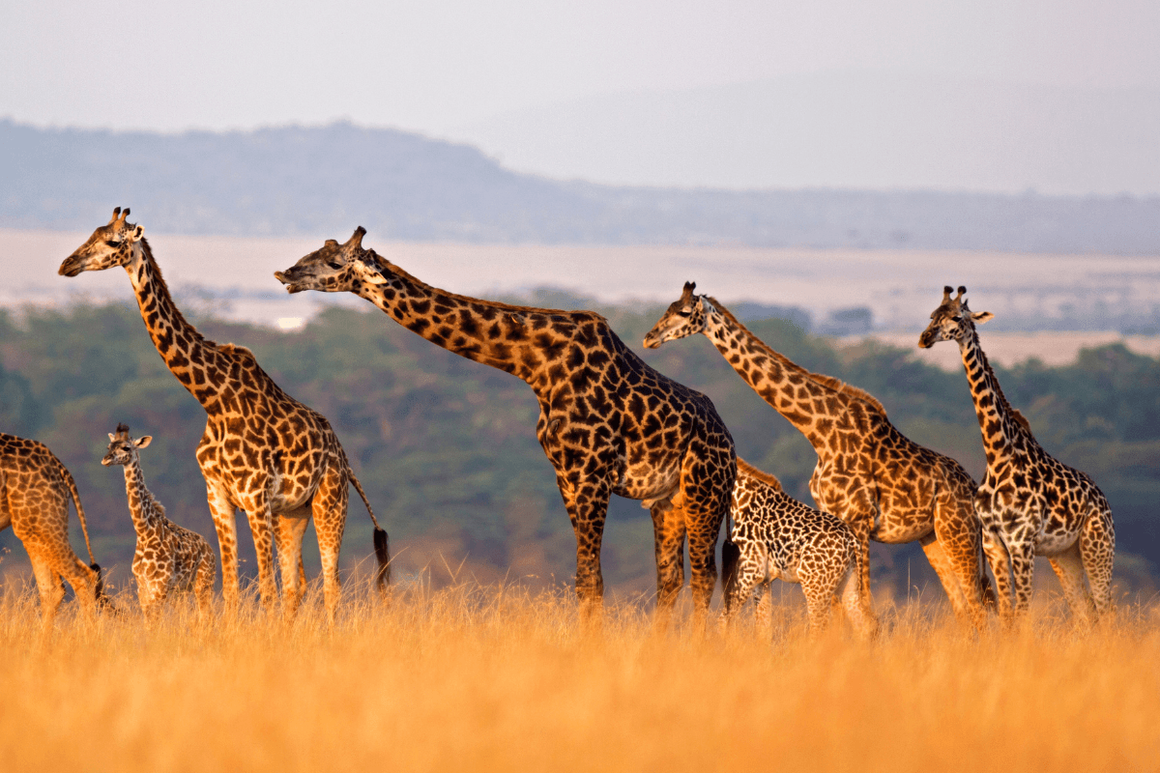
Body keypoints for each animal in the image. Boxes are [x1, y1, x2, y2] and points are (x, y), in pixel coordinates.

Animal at [102, 424, 216, 619]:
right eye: (109, 446)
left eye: (126, 447)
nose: (105, 459)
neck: (144, 531)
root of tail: (211, 551)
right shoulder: (142, 586)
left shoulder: (160, 586)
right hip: (182, 590)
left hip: (203, 582)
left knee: (206, 616)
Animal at [274, 228, 737, 618]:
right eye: (314, 252)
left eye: (335, 261)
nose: (285, 273)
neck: (536, 364)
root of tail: (730, 445)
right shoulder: (566, 476)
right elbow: (585, 580)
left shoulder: (592, 474)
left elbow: (591, 579)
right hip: (668, 501)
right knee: (671, 579)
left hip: (705, 492)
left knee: (704, 576)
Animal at [724, 458, 876, 639]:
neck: (740, 502)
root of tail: (852, 540)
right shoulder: (763, 581)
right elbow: (763, 629)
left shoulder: (749, 573)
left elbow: (723, 620)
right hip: (848, 584)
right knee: (865, 625)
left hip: (815, 587)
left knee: (820, 629)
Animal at [919, 286, 1114, 625]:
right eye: (932, 315)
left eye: (957, 318)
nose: (925, 337)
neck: (998, 455)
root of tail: (1103, 500)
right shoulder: (993, 543)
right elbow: (1008, 614)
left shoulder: (1021, 543)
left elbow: (1021, 613)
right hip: (1065, 555)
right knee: (1085, 612)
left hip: (1098, 546)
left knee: (1106, 608)